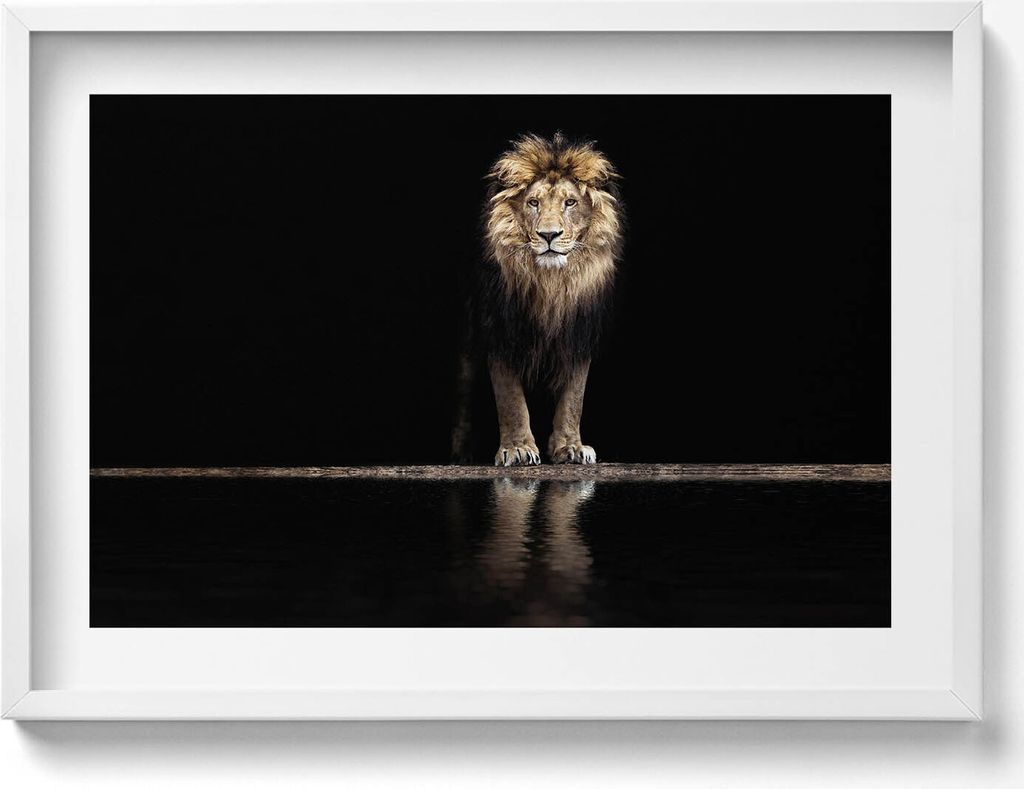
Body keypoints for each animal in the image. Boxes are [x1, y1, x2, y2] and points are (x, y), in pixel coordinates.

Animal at [451, 133, 624, 466]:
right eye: (533, 203)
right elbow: (511, 399)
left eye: (570, 202)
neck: (551, 283)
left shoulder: (578, 334)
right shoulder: (501, 331)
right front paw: (517, 448)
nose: (548, 235)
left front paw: (570, 447)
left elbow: (573, 398)